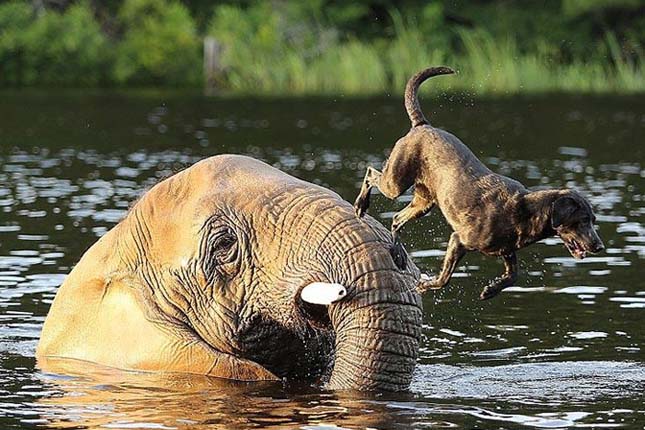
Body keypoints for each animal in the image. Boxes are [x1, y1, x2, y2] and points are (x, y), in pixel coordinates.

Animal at [352, 68, 604, 302]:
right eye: (582, 220)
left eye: (593, 220)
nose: (600, 247)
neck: (524, 211)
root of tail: (421, 125)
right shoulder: (459, 239)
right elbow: (445, 278)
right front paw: (425, 285)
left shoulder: (507, 251)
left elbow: (514, 275)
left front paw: (490, 290)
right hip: (396, 182)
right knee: (371, 173)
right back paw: (361, 205)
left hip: (424, 203)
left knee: (396, 218)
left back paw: (397, 253)